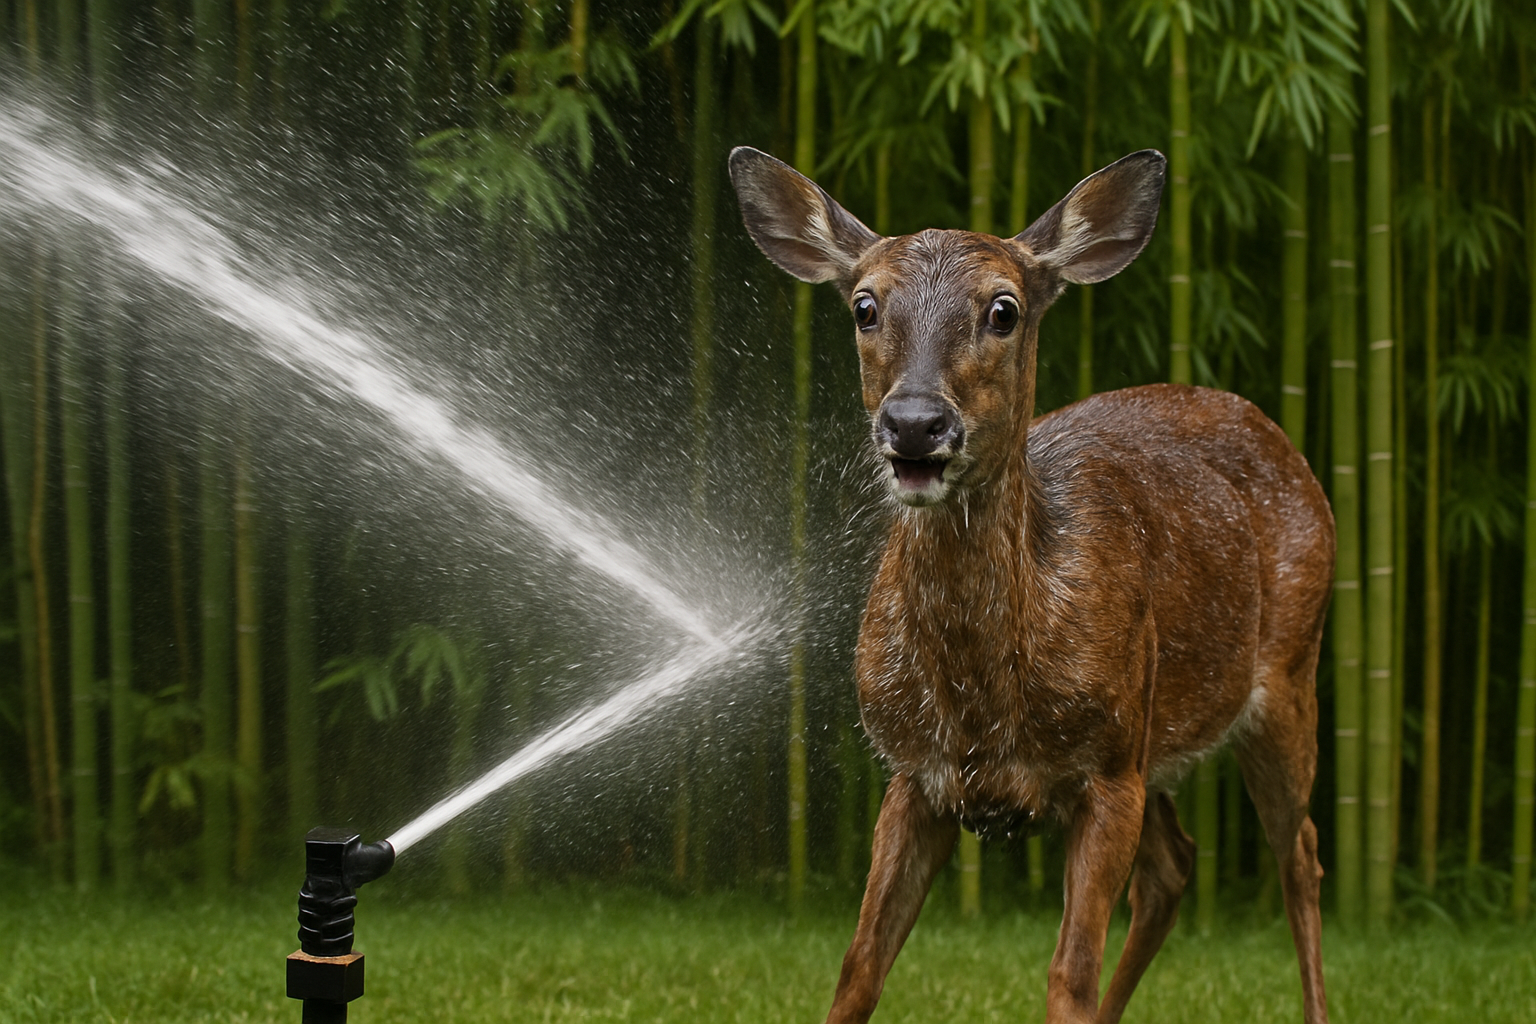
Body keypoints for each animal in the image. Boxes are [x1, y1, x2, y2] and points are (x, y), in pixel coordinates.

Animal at [728, 145, 1335, 1024]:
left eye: (1004, 309)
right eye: (865, 306)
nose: (915, 423)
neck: (984, 696)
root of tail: (1277, 433)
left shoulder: (1107, 769)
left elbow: (1067, 974)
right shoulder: (914, 773)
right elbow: (859, 965)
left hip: (1285, 673)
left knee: (1301, 856)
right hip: (1155, 735)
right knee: (1176, 865)